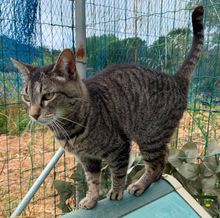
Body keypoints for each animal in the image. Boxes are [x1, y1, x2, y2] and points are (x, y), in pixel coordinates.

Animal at [11, 5, 205, 209]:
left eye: (48, 96)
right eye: (26, 97)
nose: (33, 115)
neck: (69, 129)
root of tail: (175, 78)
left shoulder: (119, 147)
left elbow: (118, 173)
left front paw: (116, 192)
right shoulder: (88, 159)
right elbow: (92, 181)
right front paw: (91, 199)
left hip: (150, 136)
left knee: (156, 162)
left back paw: (141, 184)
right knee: (164, 154)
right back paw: (155, 179)